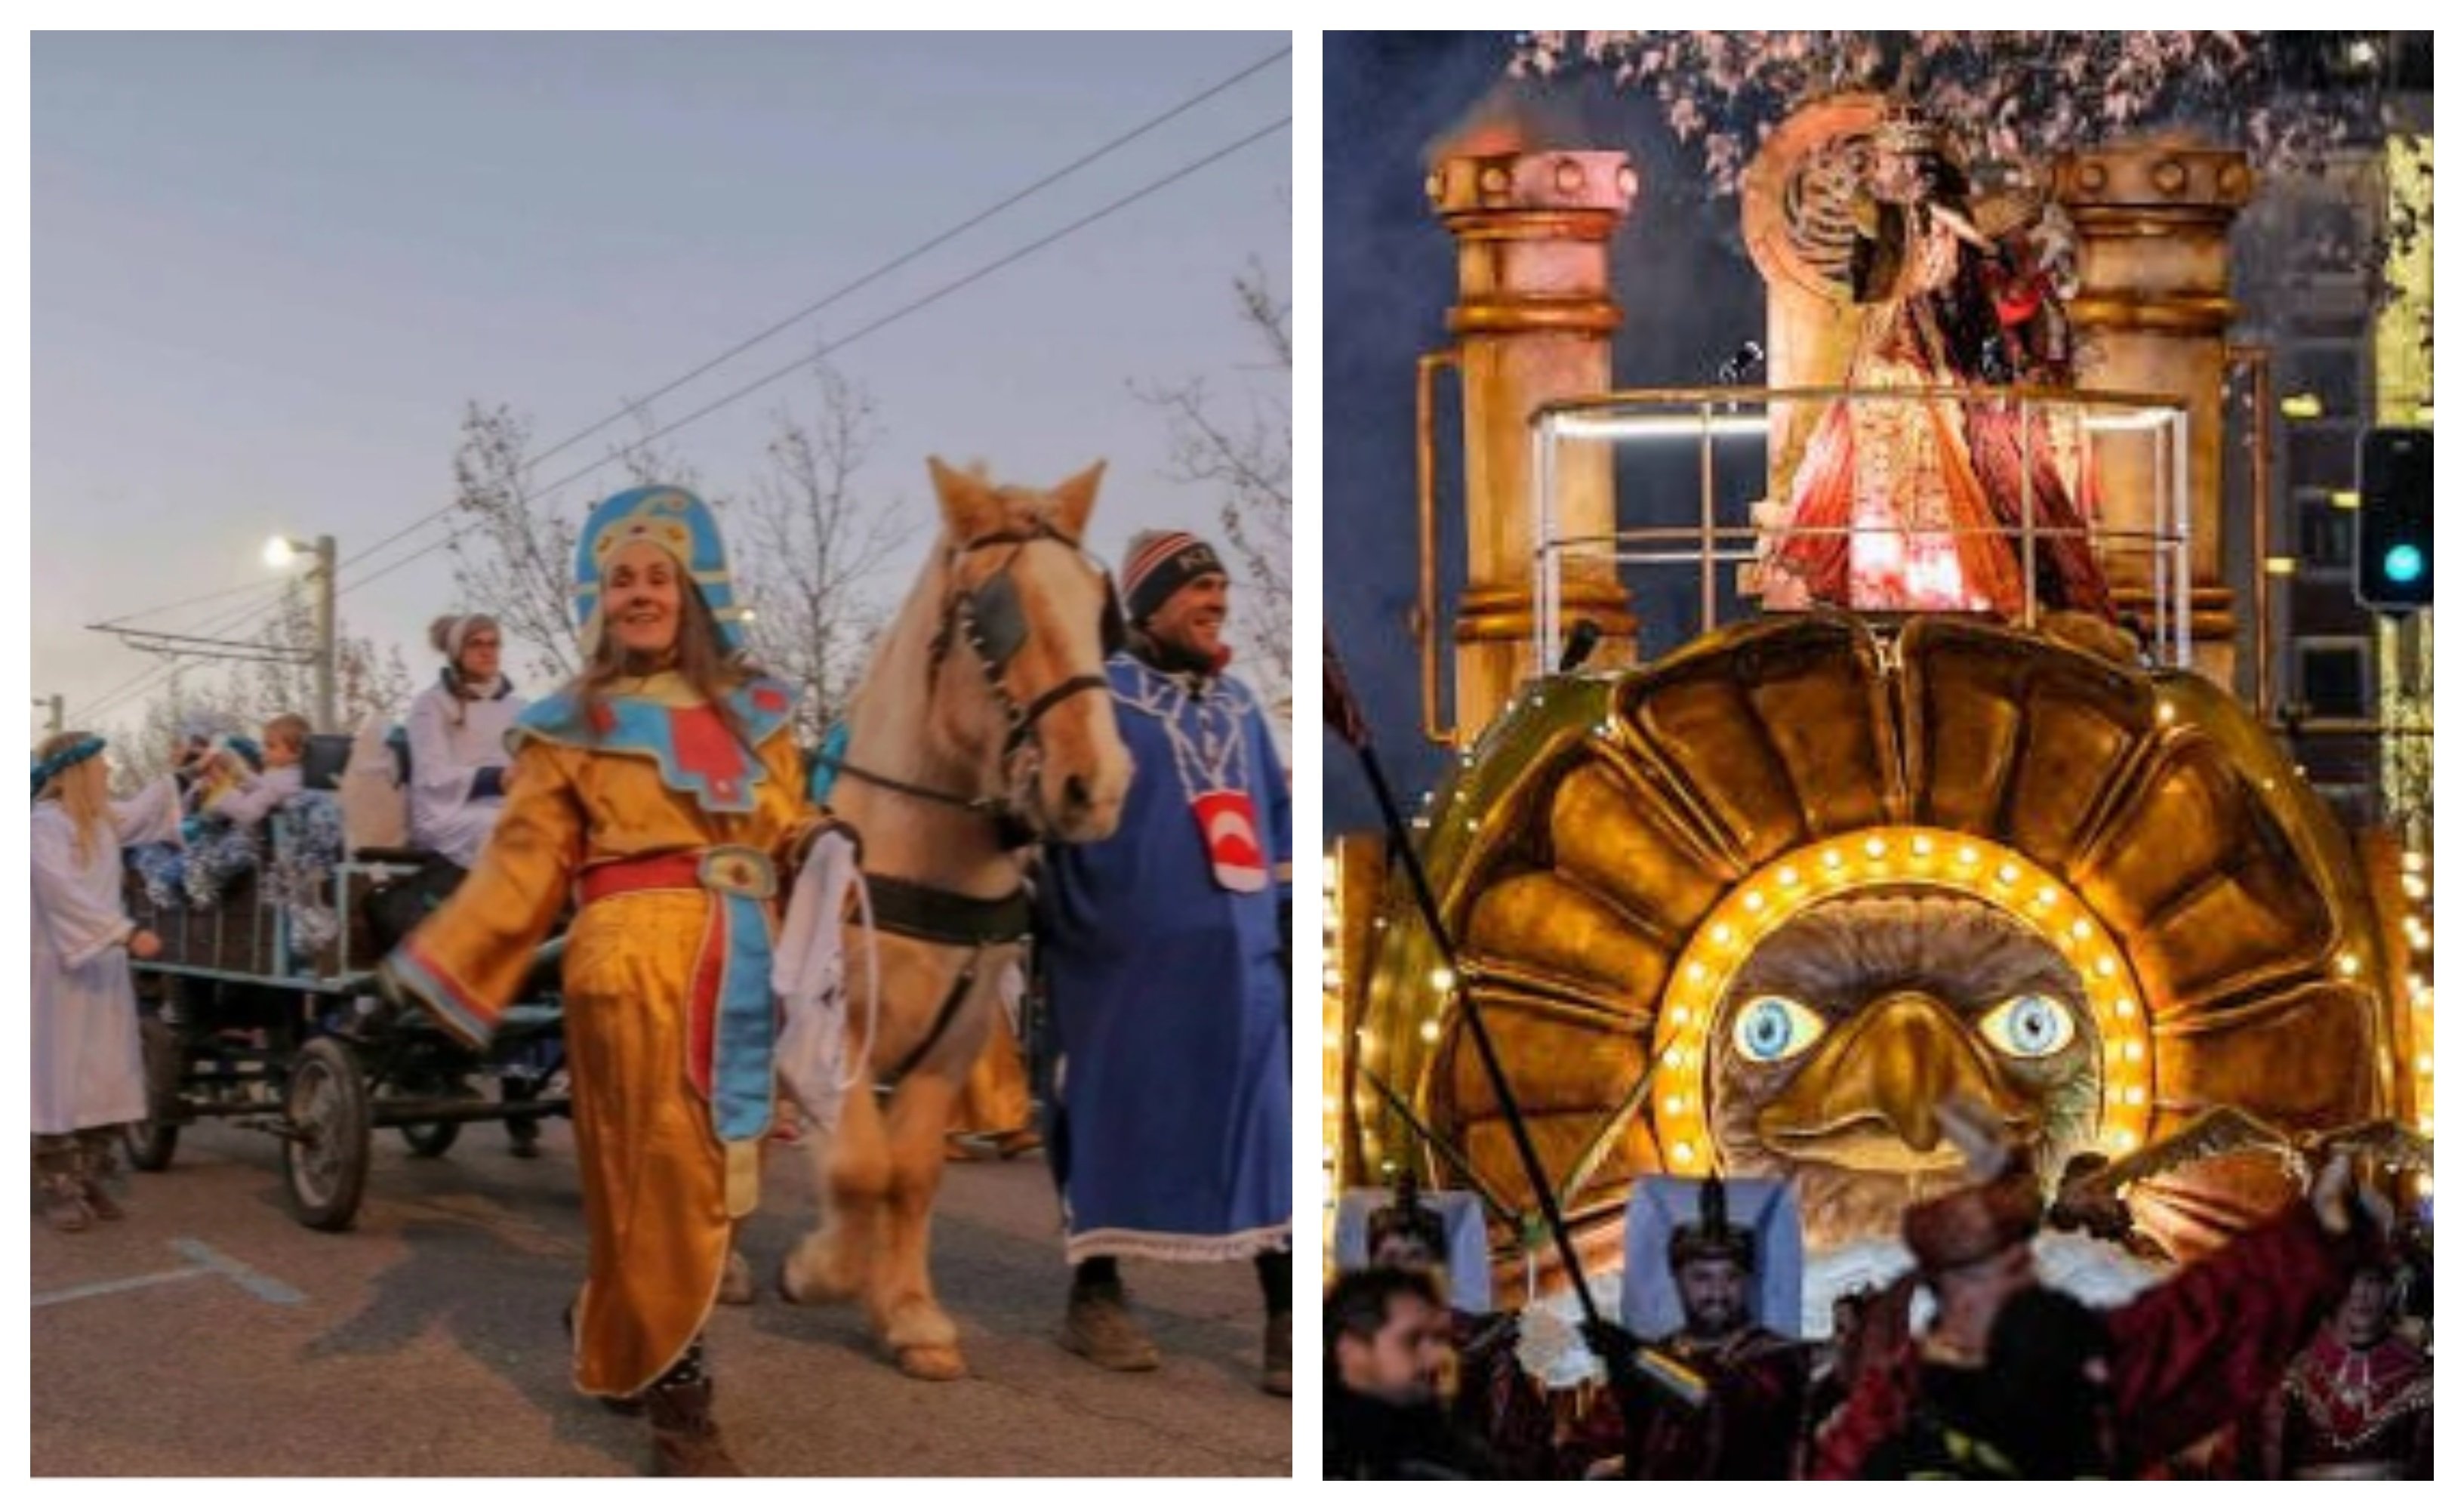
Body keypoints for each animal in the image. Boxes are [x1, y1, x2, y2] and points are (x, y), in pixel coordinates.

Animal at [778, 453, 1133, 1370]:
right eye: (993, 614)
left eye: (1098, 610)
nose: (1097, 785)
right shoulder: (841, 1029)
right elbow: (859, 1167)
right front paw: (823, 1269)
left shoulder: (958, 1040)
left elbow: (911, 1174)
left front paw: (907, 1312)